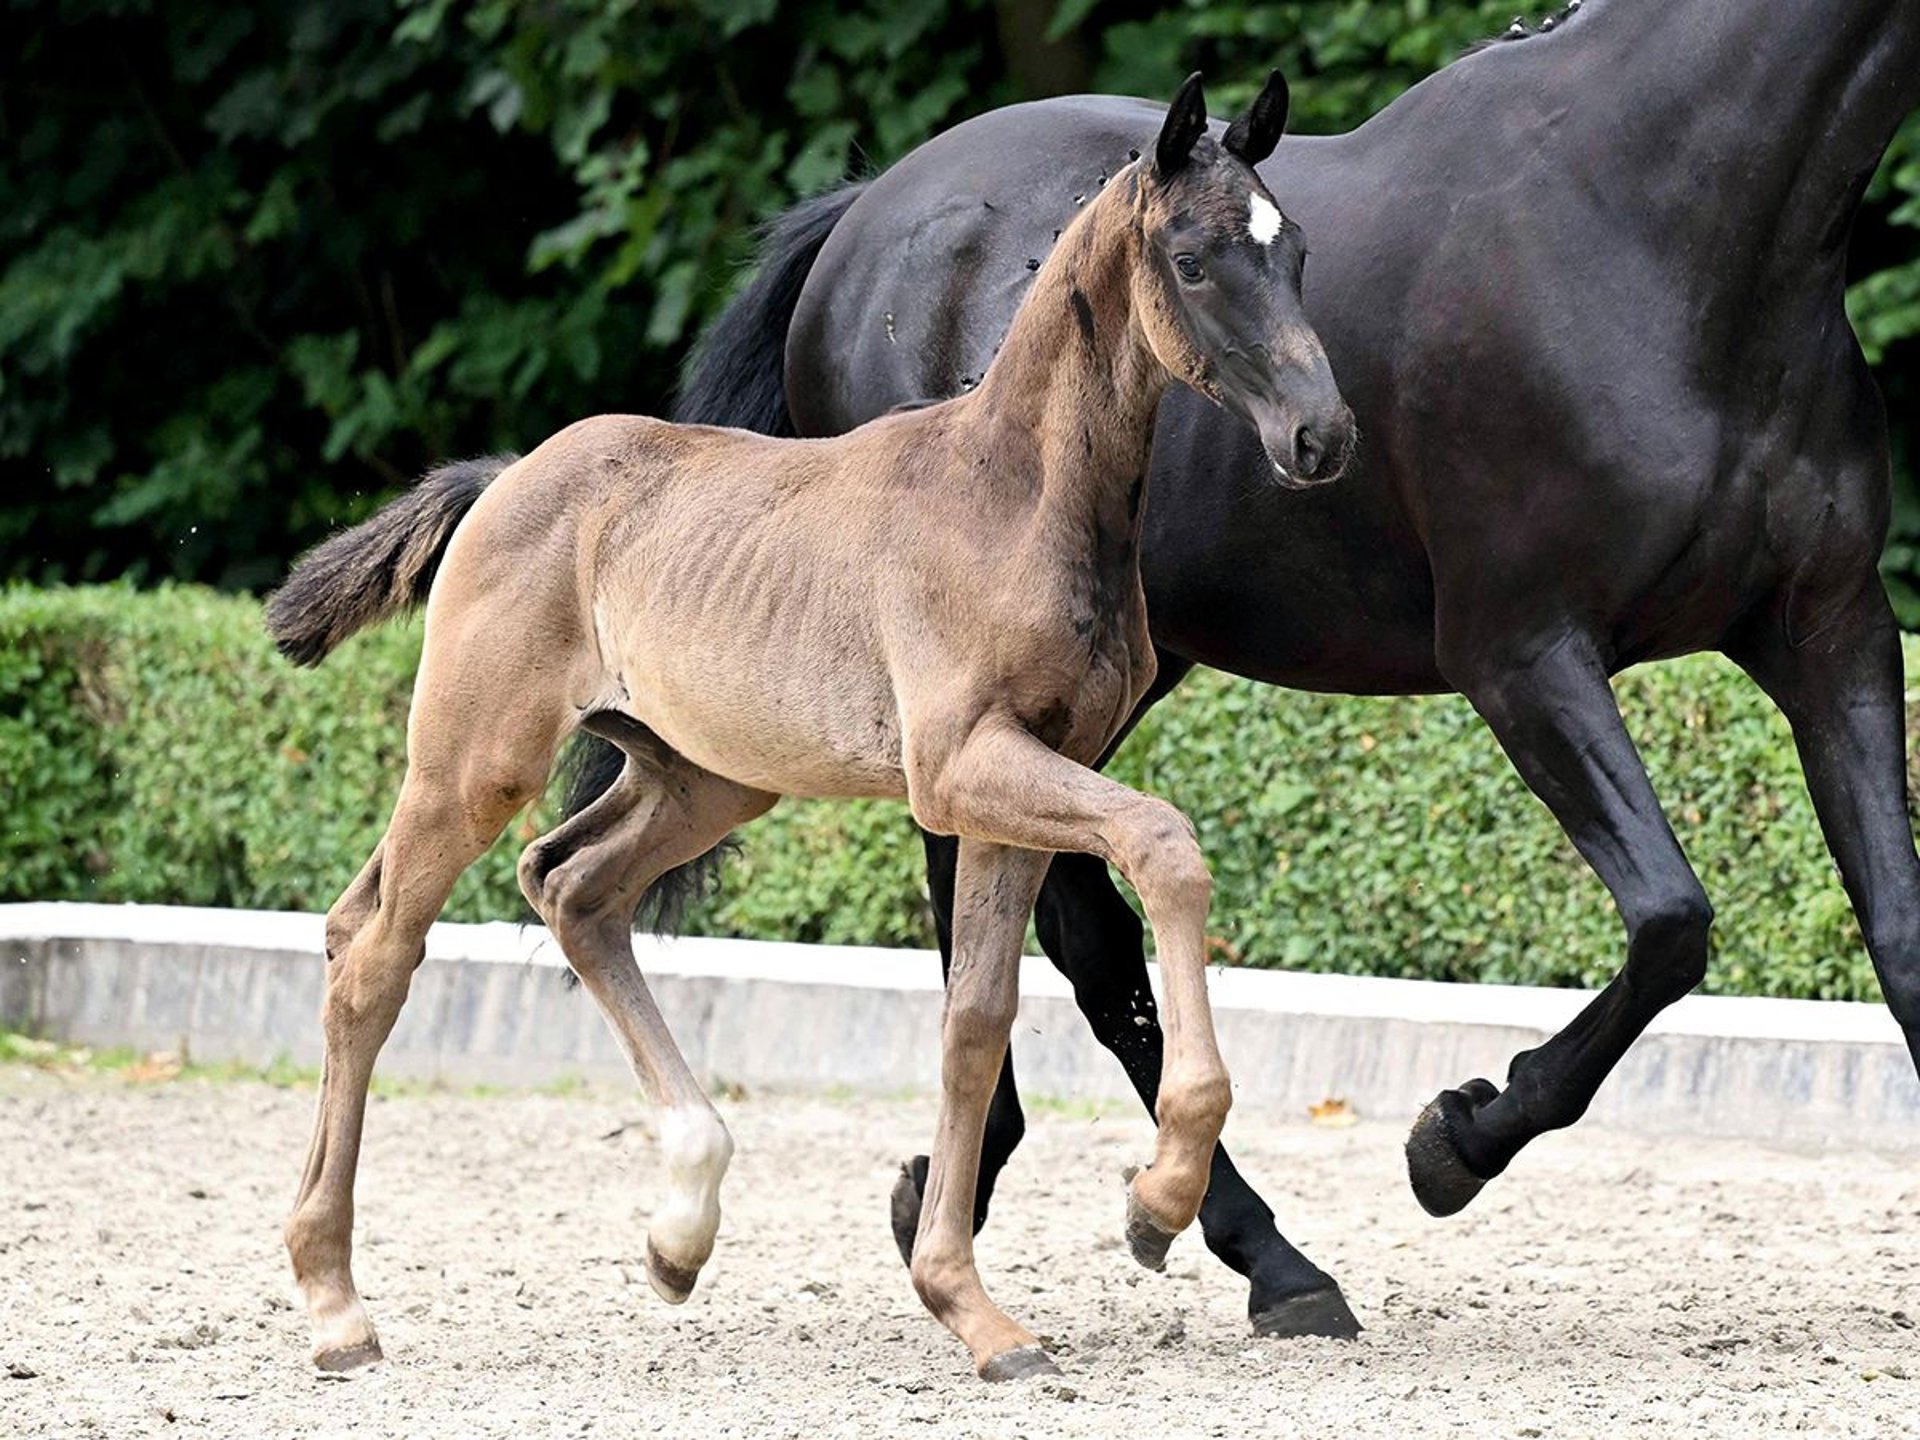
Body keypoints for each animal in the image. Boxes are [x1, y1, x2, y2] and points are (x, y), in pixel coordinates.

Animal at [264, 72, 1353, 1381]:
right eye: (1192, 261)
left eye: (1296, 250)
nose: (1321, 437)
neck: (1014, 496)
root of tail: (504, 476)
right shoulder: (965, 769)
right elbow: (1167, 847)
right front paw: (1155, 1204)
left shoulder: (1022, 784)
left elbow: (975, 1018)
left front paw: (972, 1308)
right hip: (475, 760)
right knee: (374, 945)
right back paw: (335, 1303)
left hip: (704, 778)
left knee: (571, 886)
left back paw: (680, 1231)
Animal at [566, 0, 1920, 1342]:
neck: (1652, 218)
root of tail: (859, 221)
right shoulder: (1527, 657)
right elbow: (1670, 926)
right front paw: (1455, 1138)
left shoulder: (1833, 635)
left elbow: (1897, 939)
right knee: (1058, 925)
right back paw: (1238, 1245)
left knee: (1039, 912)